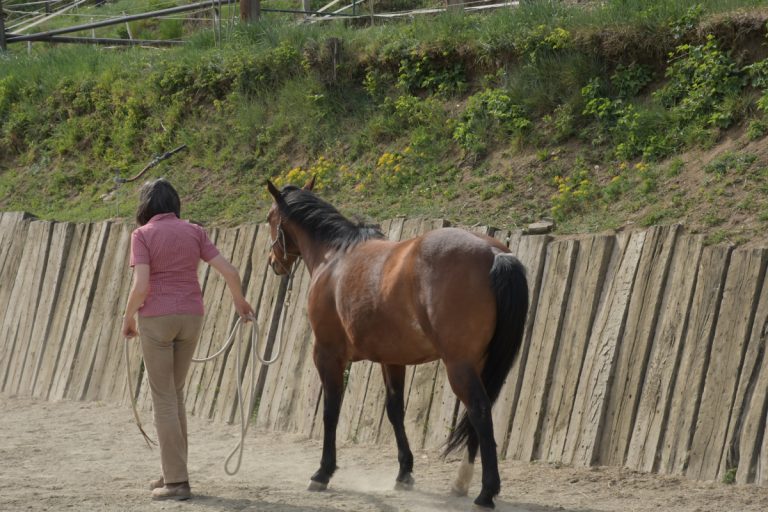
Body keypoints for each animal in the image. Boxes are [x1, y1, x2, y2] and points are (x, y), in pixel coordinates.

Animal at [266, 179, 528, 508]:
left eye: (269, 219)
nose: (273, 262)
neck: (334, 257)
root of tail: (494, 254)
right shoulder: (392, 361)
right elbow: (395, 411)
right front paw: (404, 473)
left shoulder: (327, 355)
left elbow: (330, 410)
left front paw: (323, 472)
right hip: (479, 363)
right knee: (478, 412)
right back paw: (462, 482)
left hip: (459, 365)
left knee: (479, 411)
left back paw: (486, 492)